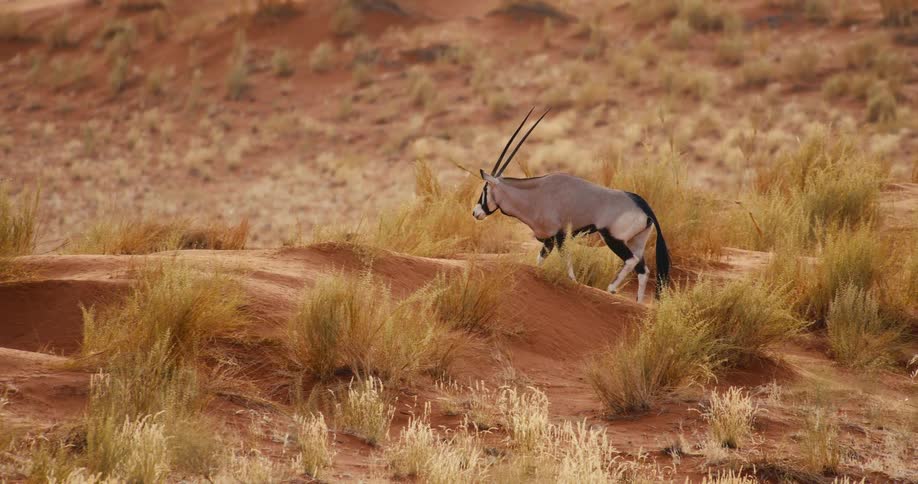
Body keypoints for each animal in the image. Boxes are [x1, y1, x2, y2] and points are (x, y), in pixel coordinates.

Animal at [472, 108, 671, 302]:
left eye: (484, 189)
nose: (475, 212)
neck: (536, 194)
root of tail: (643, 205)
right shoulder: (550, 241)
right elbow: (539, 262)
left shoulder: (559, 236)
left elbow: (568, 269)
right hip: (635, 241)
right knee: (642, 269)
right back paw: (638, 303)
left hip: (613, 238)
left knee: (631, 260)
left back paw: (612, 288)